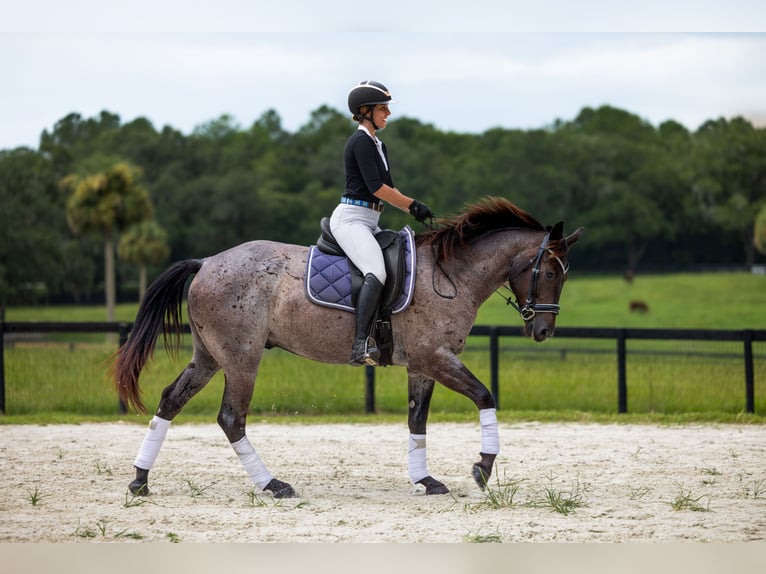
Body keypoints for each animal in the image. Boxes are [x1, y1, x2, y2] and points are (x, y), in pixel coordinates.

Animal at [112, 196, 583, 498]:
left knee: (170, 401)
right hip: (242, 359)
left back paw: (140, 481)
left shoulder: (422, 366)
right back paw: (272, 485)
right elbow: (485, 395)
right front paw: (483, 468)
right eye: (550, 272)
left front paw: (425, 481)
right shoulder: (437, 357)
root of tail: (208, 262)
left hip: (209, 357)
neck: (452, 275)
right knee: (231, 418)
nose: (543, 330)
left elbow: (417, 421)